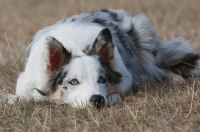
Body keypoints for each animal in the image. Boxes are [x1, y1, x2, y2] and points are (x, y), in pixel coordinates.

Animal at [1, 9, 200, 108]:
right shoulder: (26, 82)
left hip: (145, 41)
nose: (97, 100)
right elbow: (27, 96)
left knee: (155, 68)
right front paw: (10, 99)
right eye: (73, 82)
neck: (76, 46)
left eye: (102, 80)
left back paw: (171, 78)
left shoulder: (123, 76)